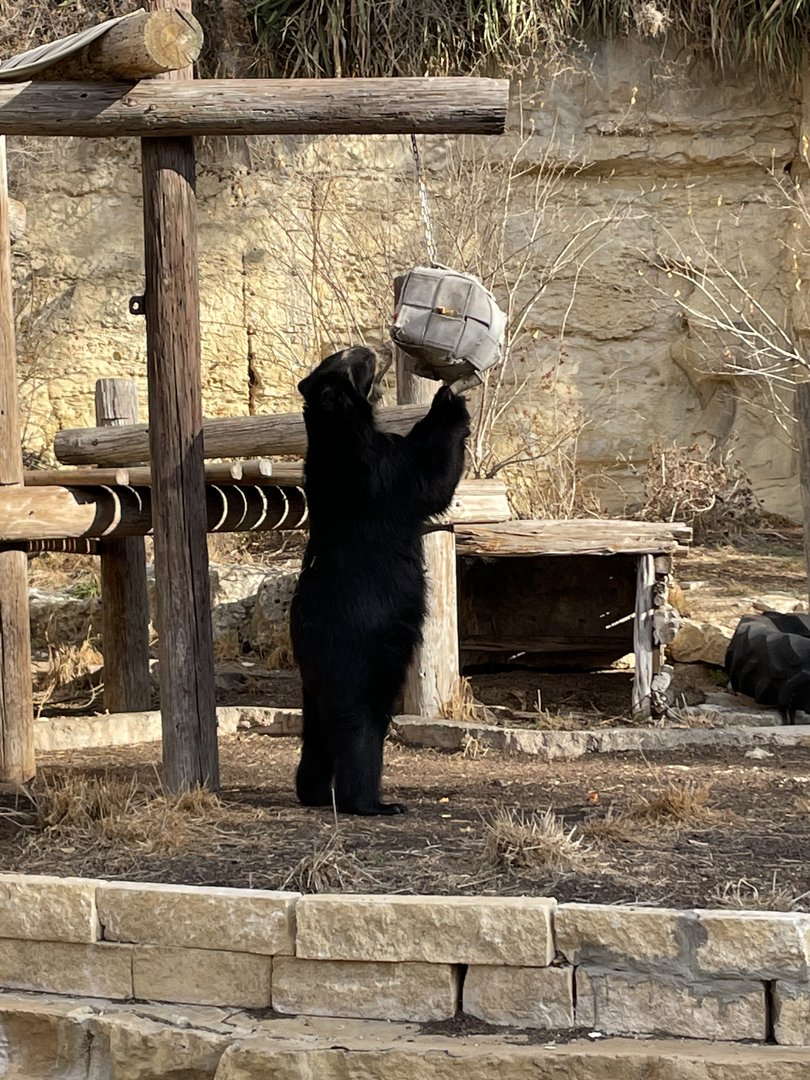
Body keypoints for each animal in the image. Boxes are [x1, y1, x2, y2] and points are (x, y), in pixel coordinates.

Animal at [290, 345, 470, 816]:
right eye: (358, 358)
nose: (381, 347)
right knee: (361, 731)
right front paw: (451, 399)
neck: (339, 427)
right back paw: (373, 802)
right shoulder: (378, 472)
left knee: (317, 734)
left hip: (315, 683)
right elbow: (429, 480)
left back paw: (314, 793)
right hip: (361, 660)